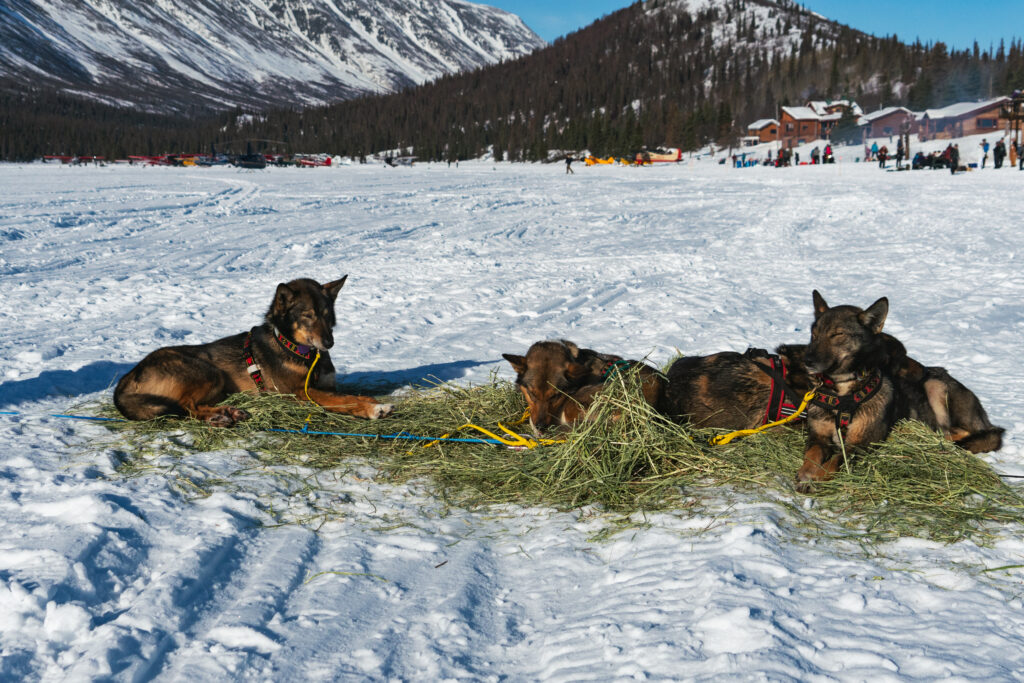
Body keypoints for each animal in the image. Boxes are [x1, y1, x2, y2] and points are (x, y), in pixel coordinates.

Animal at [113, 274, 391, 423]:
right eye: (308, 316)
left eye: (326, 314)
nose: (329, 343)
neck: (294, 349)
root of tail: (126, 378)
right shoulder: (299, 394)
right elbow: (345, 400)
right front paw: (373, 409)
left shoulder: (324, 387)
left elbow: (353, 395)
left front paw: (373, 403)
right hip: (207, 371)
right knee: (187, 407)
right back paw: (219, 417)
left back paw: (229, 412)